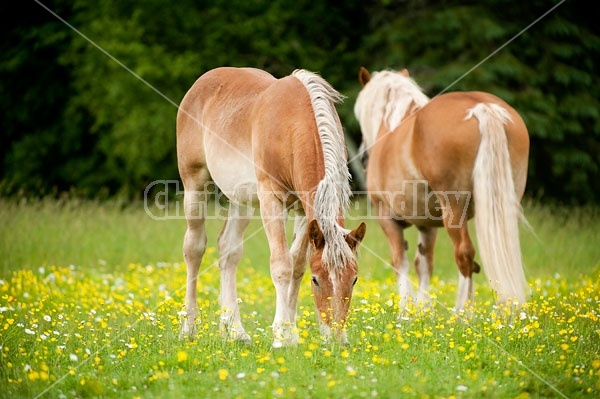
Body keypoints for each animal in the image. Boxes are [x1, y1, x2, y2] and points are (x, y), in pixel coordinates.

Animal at [177, 66, 366, 346]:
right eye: (316, 280)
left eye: (353, 280)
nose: (336, 338)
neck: (292, 127)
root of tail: (200, 84)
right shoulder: (271, 201)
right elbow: (281, 266)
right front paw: (280, 336)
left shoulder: (303, 210)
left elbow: (296, 265)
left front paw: (292, 334)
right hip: (195, 185)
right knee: (194, 248)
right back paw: (188, 328)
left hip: (241, 200)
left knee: (229, 251)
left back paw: (234, 330)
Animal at [356, 68, 528, 312]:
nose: (363, 156)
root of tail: (481, 107)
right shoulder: (427, 225)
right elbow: (424, 263)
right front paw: (422, 309)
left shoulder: (386, 218)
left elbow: (401, 262)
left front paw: (405, 310)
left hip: (454, 211)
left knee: (464, 255)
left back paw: (462, 313)